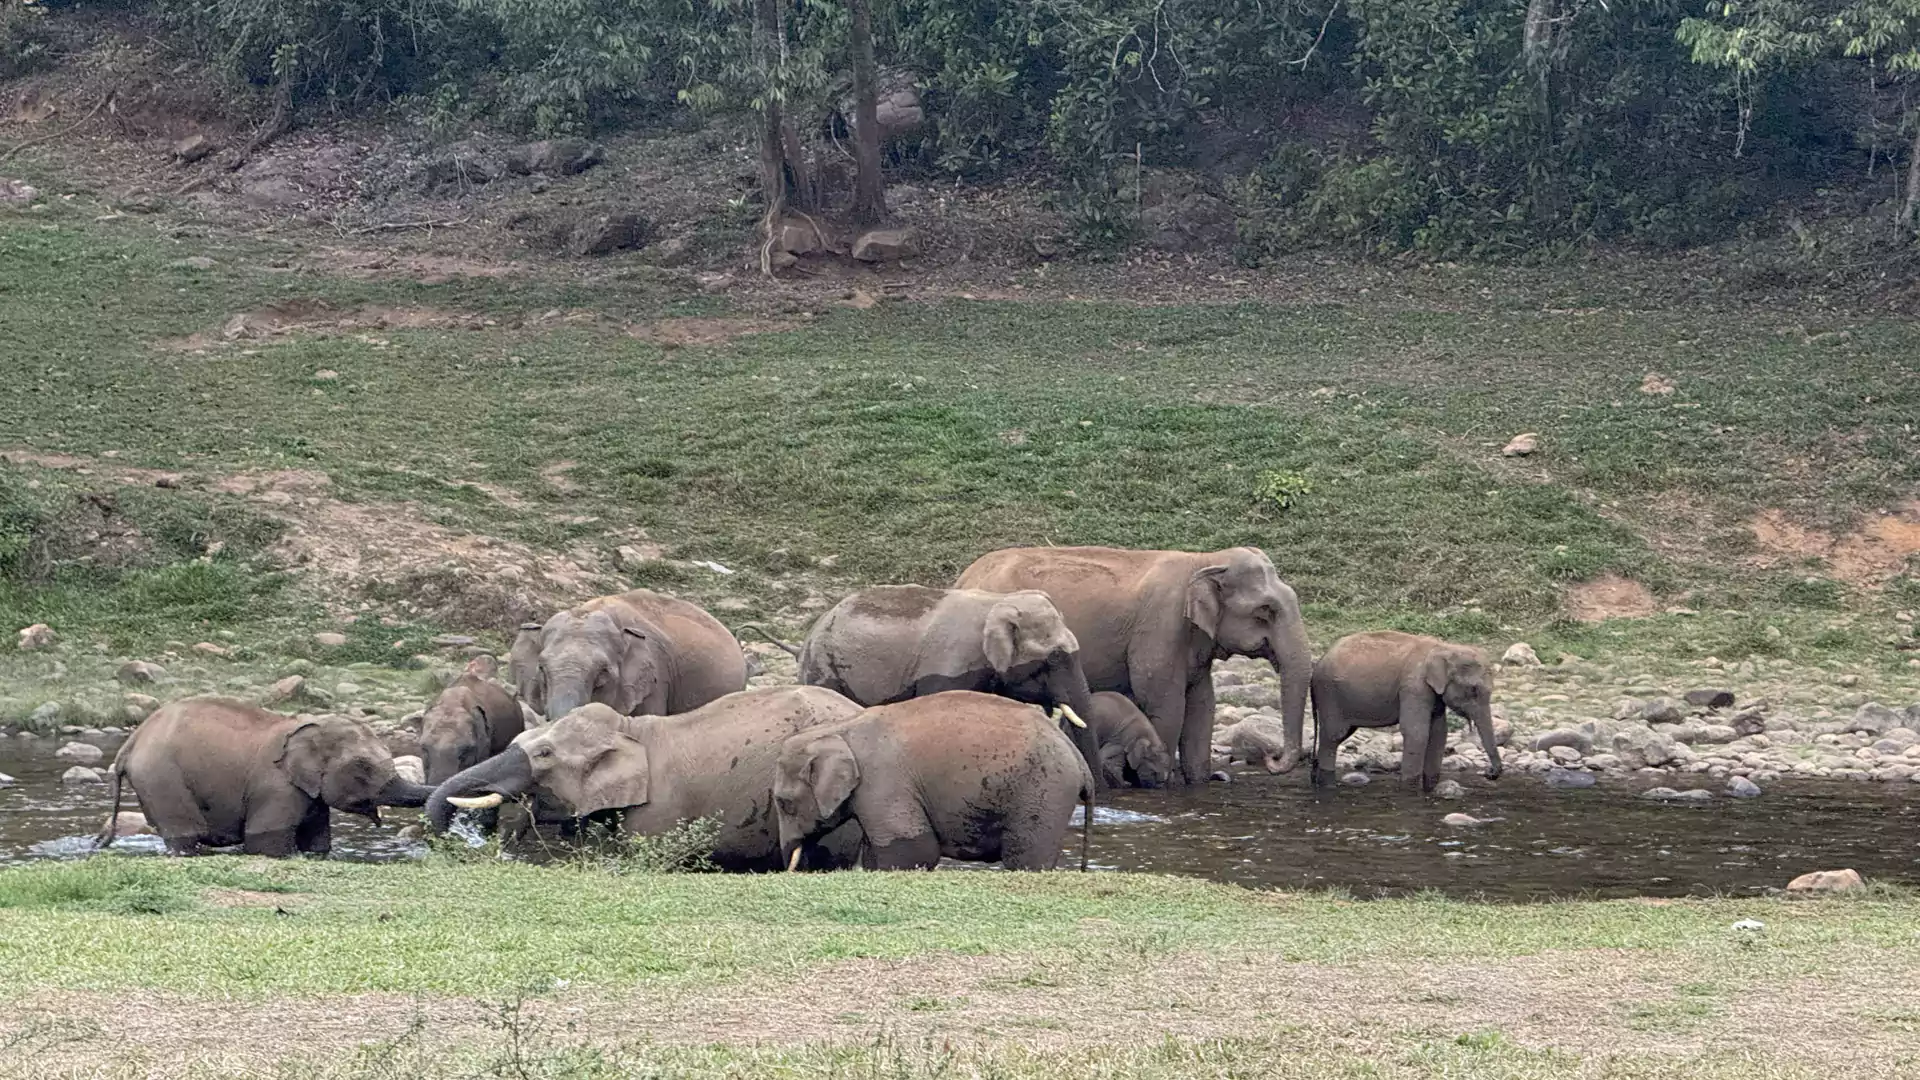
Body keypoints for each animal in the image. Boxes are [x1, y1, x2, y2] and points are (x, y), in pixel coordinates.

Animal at [96, 697, 433, 856]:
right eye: (363, 767)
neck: (307, 726)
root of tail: (131, 742)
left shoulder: (309, 793)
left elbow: (317, 840)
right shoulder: (276, 786)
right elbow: (266, 837)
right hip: (162, 779)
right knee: (185, 833)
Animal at [773, 691, 1094, 872]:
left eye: (784, 803)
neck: (840, 729)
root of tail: (1081, 763)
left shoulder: (883, 781)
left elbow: (914, 850)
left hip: (1044, 792)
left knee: (1025, 856)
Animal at [957, 546, 1312, 785]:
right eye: (1265, 610)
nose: (1271, 759)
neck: (1205, 560)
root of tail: (963, 576)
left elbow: (1202, 707)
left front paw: (1197, 783)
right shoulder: (1162, 628)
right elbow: (1165, 704)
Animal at [1309, 631, 1503, 791]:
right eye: (1473, 690)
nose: (1489, 773)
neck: (1445, 647)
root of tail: (1318, 663)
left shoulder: (1432, 693)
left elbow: (1439, 733)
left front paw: (1430, 787)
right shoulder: (1414, 686)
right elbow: (1416, 732)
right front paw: (1409, 789)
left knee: (1341, 734)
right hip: (1329, 694)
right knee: (1333, 735)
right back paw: (1327, 784)